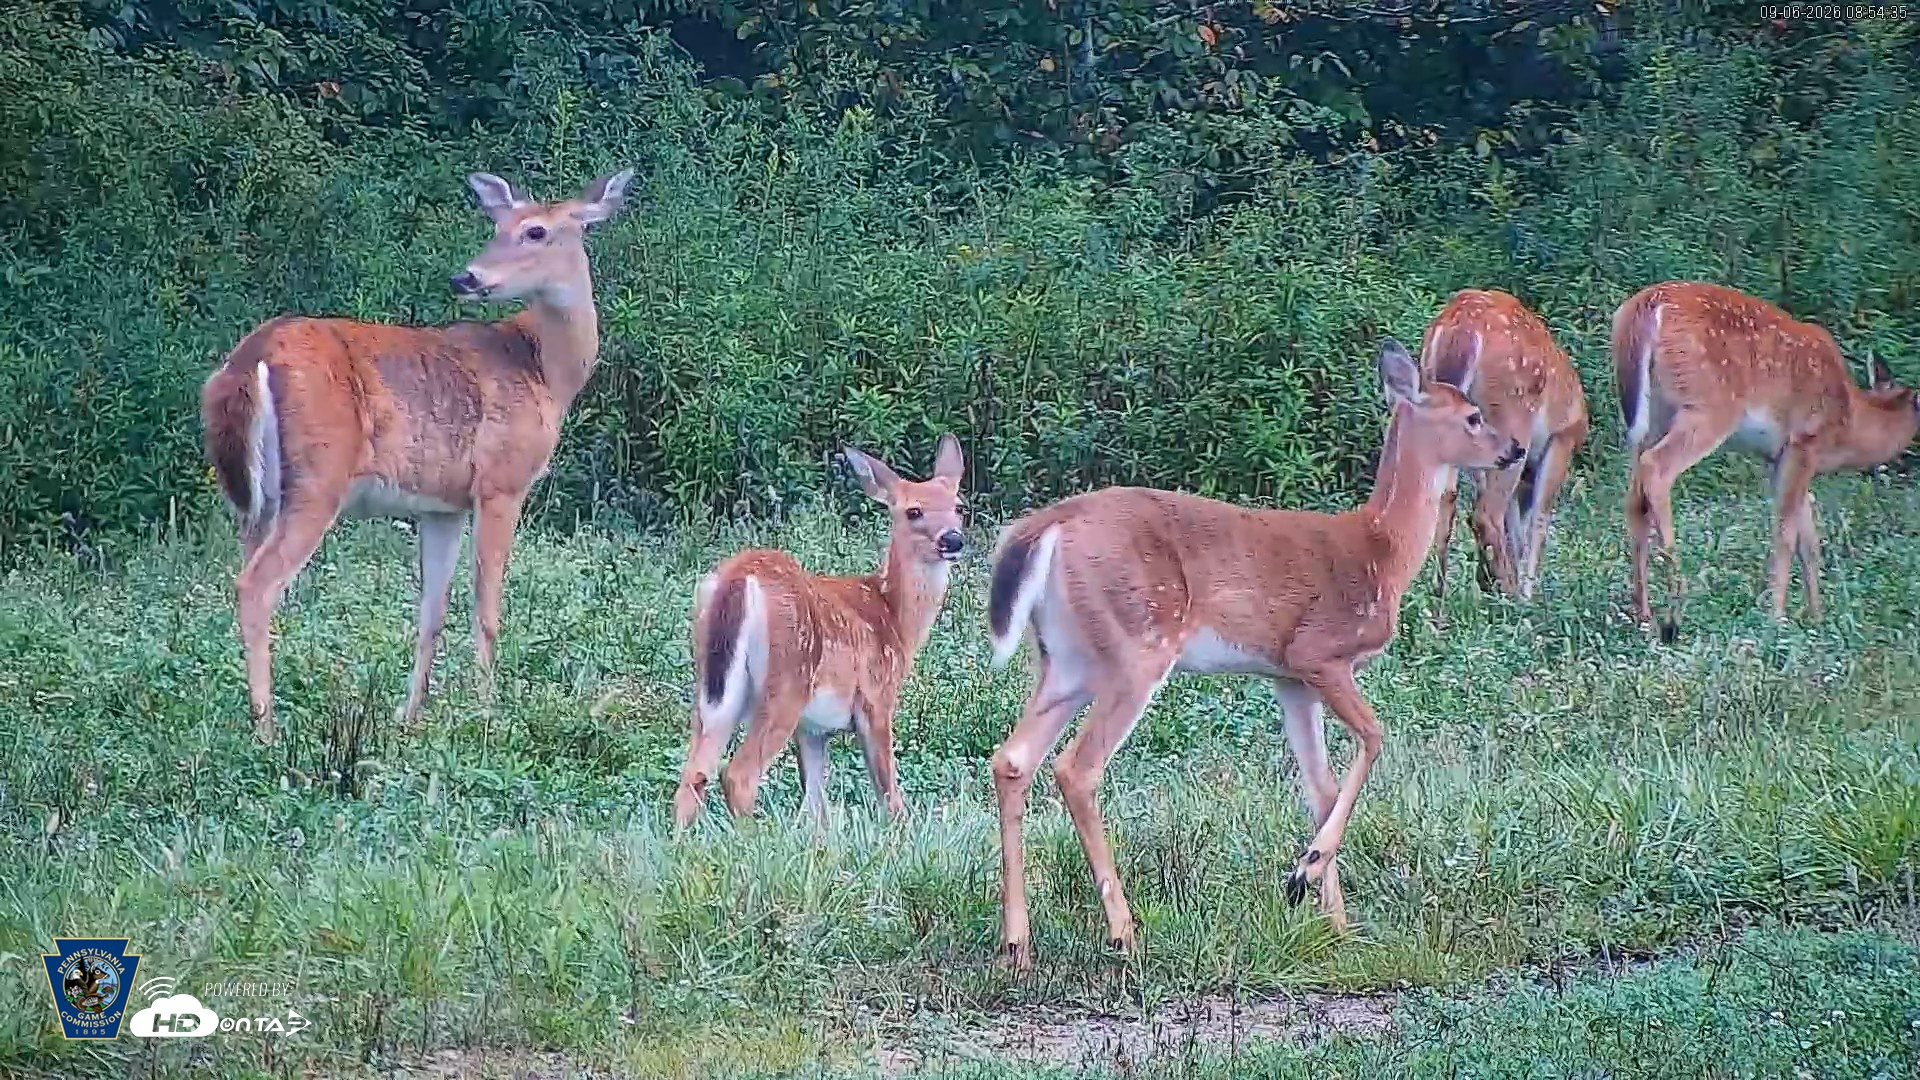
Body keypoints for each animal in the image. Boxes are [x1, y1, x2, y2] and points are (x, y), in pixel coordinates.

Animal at [200, 168, 635, 743]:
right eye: (499, 226)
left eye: (535, 230)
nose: (465, 277)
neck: (546, 371)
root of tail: (248, 360)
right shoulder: (502, 482)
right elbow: (486, 607)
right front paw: (487, 714)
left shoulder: (441, 505)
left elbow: (432, 611)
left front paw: (409, 718)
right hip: (318, 478)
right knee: (255, 585)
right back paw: (267, 731)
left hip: (253, 498)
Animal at [673, 435, 968, 829]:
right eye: (913, 511)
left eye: (958, 506)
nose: (952, 539)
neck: (893, 616)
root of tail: (738, 578)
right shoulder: (876, 697)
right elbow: (889, 793)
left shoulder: (813, 728)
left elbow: (817, 805)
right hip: (786, 682)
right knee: (738, 775)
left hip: (713, 688)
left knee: (693, 775)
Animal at [982, 339, 1525, 969]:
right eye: (1473, 417)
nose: (1515, 449)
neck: (1382, 553)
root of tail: (1048, 526)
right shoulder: (1320, 651)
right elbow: (1374, 738)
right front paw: (1306, 875)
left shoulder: (1288, 678)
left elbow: (1321, 786)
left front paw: (1334, 920)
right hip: (1140, 643)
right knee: (1076, 767)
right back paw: (1124, 932)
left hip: (1068, 660)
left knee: (1012, 759)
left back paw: (1017, 942)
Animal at [1425, 289, 1590, 602]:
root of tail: (1461, 330)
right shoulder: (1561, 440)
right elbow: (1537, 521)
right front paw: (1526, 594)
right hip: (1512, 420)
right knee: (1486, 515)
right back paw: (1511, 598)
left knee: (1447, 503)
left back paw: (1440, 594)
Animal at [1614, 281, 1919, 640]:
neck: (1850, 422)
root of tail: (1649, 305)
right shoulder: (1804, 441)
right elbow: (1786, 532)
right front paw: (1777, 615)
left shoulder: (1778, 457)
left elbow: (1809, 540)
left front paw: (1816, 617)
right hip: (1708, 407)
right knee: (1657, 469)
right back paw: (1674, 610)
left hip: (1650, 419)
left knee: (1635, 497)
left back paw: (1643, 614)